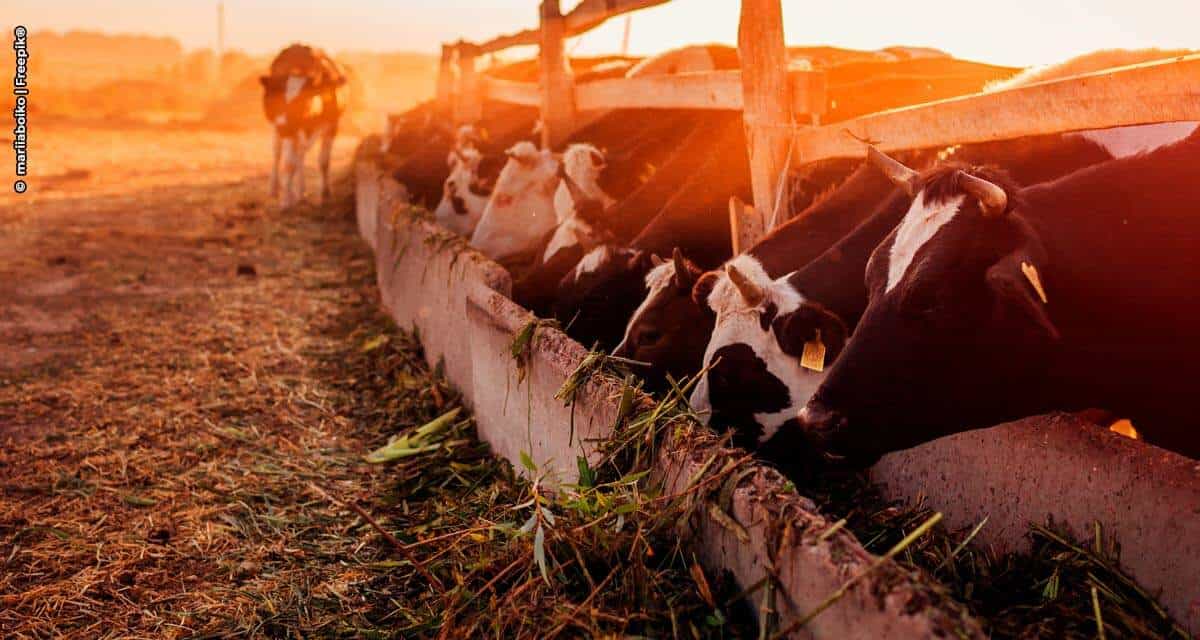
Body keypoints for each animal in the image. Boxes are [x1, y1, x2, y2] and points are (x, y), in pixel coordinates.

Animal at [256, 42, 345, 206]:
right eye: (276, 98)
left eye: (302, 100)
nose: (282, 124)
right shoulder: (287, 129)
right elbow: (288, 163)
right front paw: (286, 201)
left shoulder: (332, 124)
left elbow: (323, 161)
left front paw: (325, 193)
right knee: (277, 153)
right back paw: (275, 189)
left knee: (300, 155)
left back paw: (300, 191)